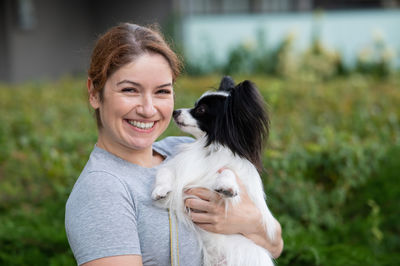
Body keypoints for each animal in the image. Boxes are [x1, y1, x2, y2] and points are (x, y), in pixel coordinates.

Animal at [152, 76, 276, 266]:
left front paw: (227, 187)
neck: (208, 147)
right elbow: (164, 171)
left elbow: (228, 172)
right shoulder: (178, 168)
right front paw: (160, 190)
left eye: (201, 110)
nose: (175, 111)